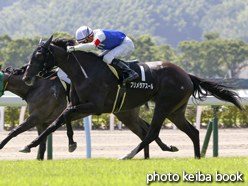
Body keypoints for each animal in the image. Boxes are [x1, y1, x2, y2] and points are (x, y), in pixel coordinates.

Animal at [20, 36, 242, 160]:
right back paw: (196, 157)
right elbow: (55, 122)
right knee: (193, 132)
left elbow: (64, 117)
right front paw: (29, 145)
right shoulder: (79, 105)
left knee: (151, 133)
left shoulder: (95, 107)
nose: (26, 77)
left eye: (39, 55)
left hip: (164, 104)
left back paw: (127, 155)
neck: (84, 71)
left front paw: (71, 144)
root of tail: (186, 75)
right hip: (176, 110)